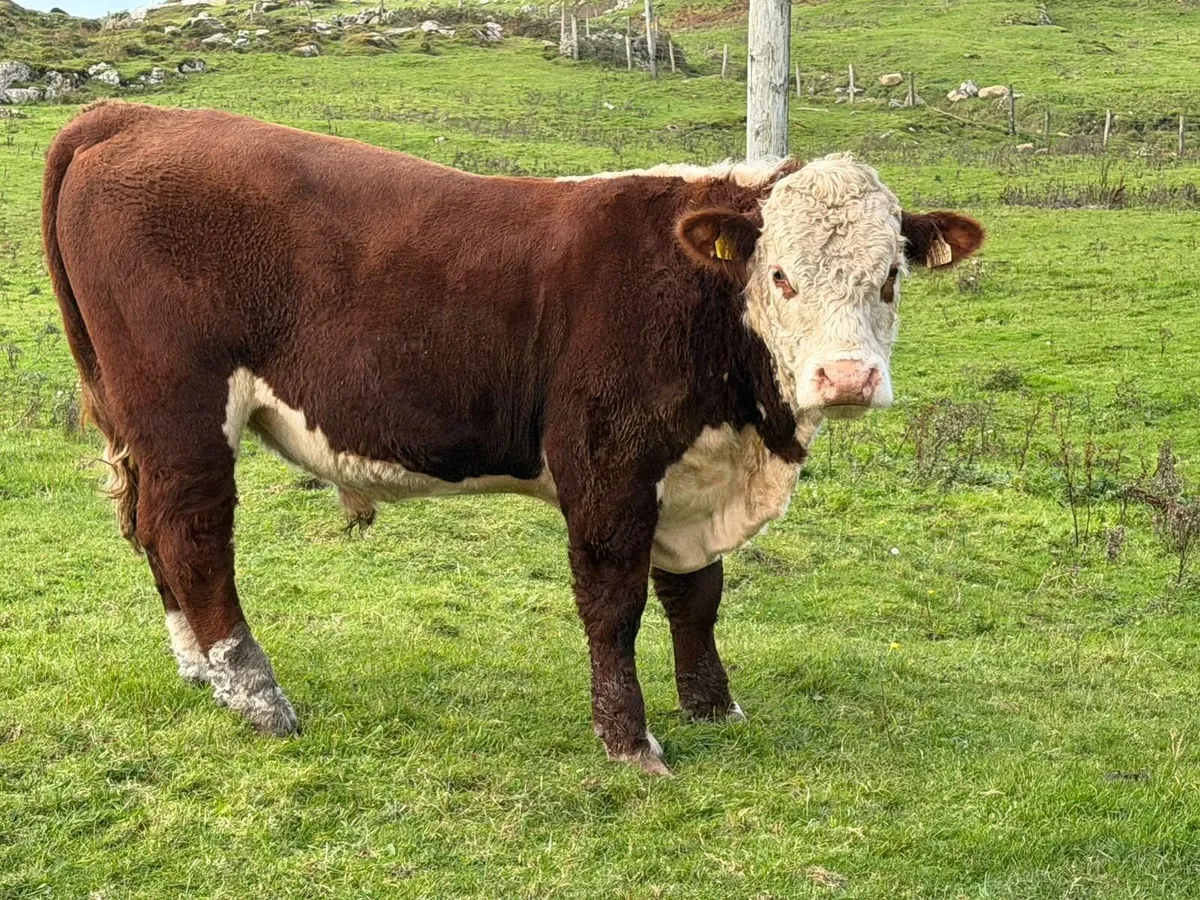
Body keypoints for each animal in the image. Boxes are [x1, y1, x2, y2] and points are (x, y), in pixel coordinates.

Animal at [43, 102, 983, 774]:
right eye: (781, 276)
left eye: (890, 277)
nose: (847, 379)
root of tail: (131, 115)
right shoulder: (607, 460)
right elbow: (614, 602)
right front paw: (630, 742)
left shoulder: (690, 469)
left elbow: (697, 595)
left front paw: (714, 705)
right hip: (181, 408)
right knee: (191, 534)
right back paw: (255, 695)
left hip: (140, 422)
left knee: (152, 534)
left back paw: (200, 672)